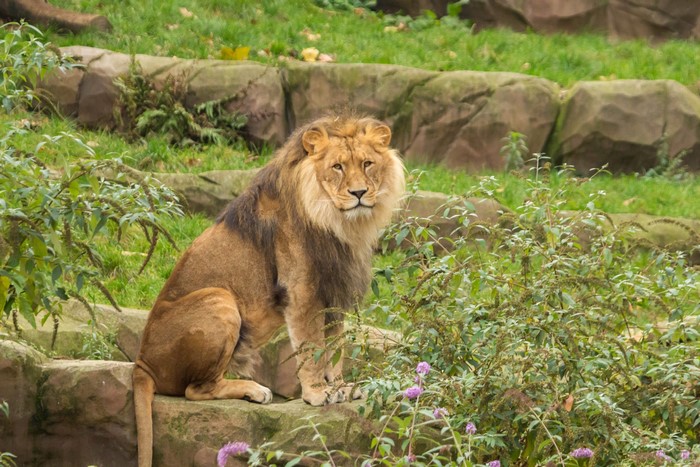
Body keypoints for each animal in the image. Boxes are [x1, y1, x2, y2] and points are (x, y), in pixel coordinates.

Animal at [132, 114, 406, 466]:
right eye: (337, 167)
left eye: (368, 163)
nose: (359, 193)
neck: (338, 222)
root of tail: (141, 362)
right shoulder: (302, 291)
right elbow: (311, 348)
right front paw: (317, 394)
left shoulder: (334, 292)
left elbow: (336, 346)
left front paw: (341, 387)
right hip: (219, 298)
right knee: (195, 390)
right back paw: (255, 389)